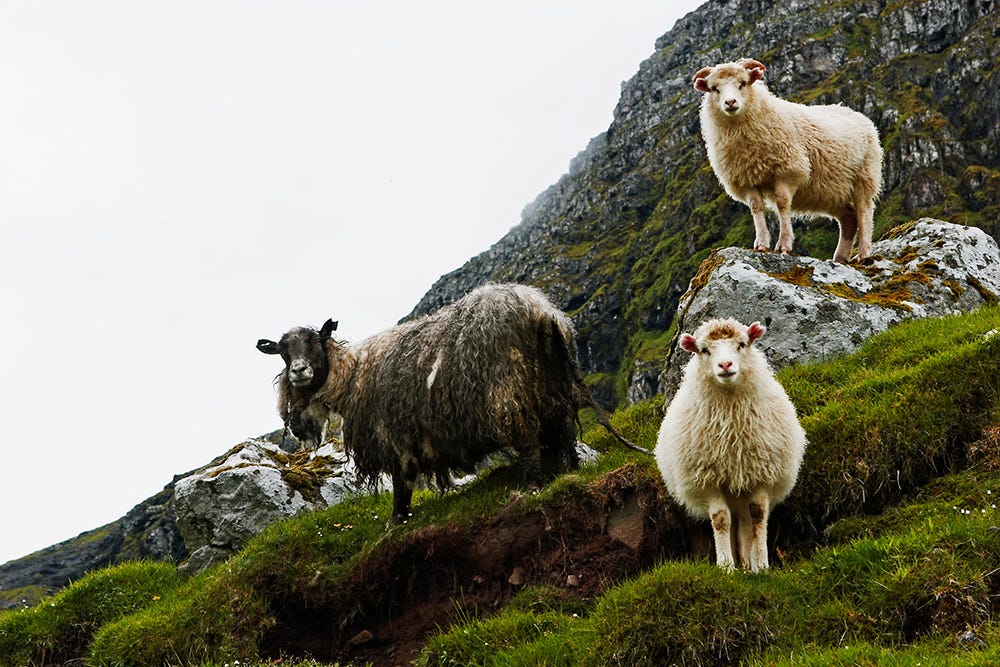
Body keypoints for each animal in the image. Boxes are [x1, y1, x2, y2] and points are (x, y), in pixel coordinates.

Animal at [257, 282, 639, 524]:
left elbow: (402, 483)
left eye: (315, 341)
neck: (353, 374)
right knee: (563, 430)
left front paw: (397, 520)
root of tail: (542, 311)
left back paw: (532, 486)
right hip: (554, 388)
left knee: (529, 441)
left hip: (509, 393)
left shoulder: (395, 437)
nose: (298, 371)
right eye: (282, 352)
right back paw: (572, 468)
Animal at [655, 318, 806, 571]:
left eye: (742, 344)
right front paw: (726, 567)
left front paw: (762, 565)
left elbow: (758, 515)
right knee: (734, 521)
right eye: (704, 350)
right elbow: (721, 519)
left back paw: (748, 564)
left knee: (745, 522)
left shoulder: (761, 474)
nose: (725, 364)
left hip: (742, 489)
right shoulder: (708, 479)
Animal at [693, 58, 883, 263]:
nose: (730, 102)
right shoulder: (745, 179)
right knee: (849, 218)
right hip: (831, 191)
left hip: (864, 177)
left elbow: (782, 204)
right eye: (714, 88)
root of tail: (855, 113)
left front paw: (784, 245)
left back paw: (864, 253)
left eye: (742, 83)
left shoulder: (787, 170)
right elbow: (756, 207)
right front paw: (761, 243)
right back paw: (840, 258)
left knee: (864, 212)